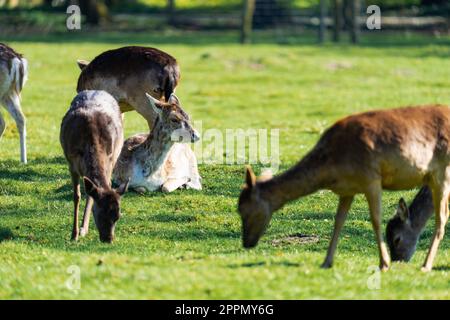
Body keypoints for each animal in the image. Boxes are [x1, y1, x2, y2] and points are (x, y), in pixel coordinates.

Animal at [60, 91, 129, 244]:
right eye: (100, 213)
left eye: (118, 216)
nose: (108, 239)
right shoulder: (71, 163)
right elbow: (77, 196)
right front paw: (74, 235)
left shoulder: (110, 159)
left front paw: (81, 230)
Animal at [237, 104, 448, 270]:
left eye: (243, 209)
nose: (246, 243)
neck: (332, 164)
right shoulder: (347, 189)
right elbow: (338, 221)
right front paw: (326, 262)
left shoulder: (371, 177)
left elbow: (375, 220)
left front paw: (383, 264)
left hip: (442, 171)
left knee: (441, 218)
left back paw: (426, 265)